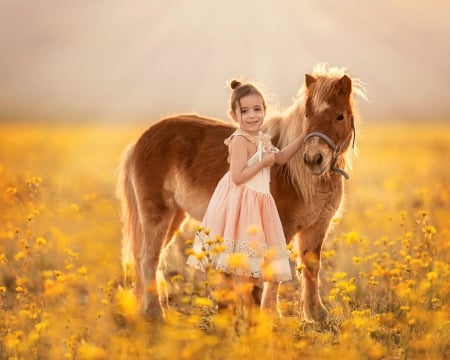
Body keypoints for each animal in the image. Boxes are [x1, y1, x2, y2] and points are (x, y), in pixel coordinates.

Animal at [116, 63, 366, 322]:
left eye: (340, 116)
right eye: (307, 116)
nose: (313, 159)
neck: (296, 175)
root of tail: (141, 140)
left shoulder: (316, 228)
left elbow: (311, 268)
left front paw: (316, 315)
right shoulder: (281, 227)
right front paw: (270, 315)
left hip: (176, 215)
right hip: (157, 214)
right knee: (149, 259)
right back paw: (155, 314)